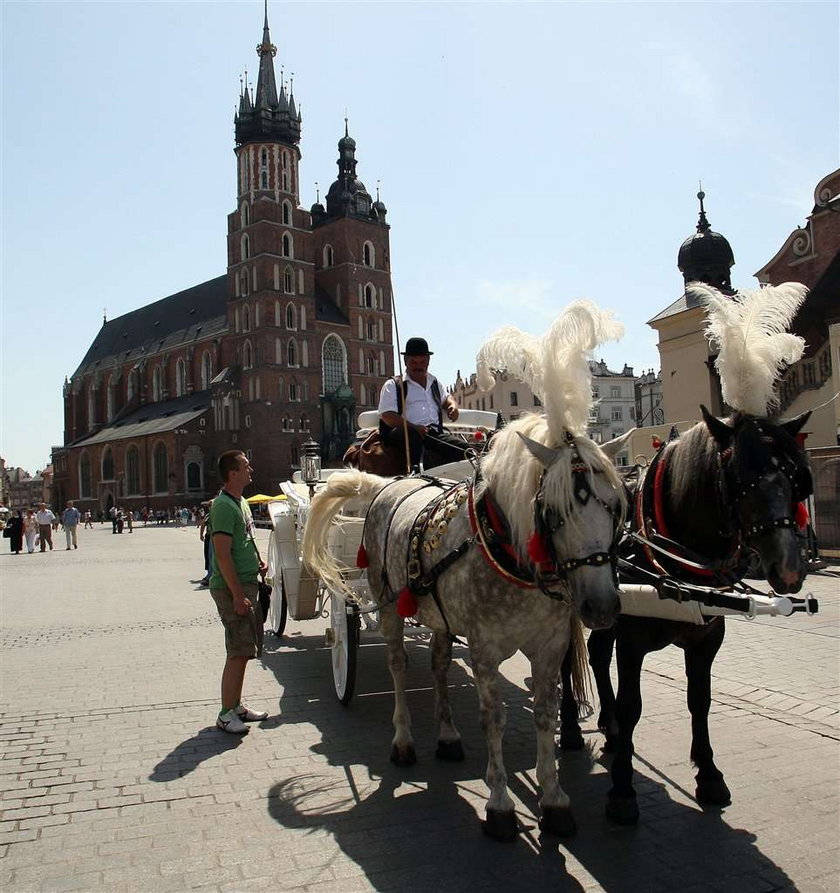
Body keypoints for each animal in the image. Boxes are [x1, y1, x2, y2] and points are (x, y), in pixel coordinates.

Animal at [302, 300, 632, 836]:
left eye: (618, 508)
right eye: (554, 511)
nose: (602, 607)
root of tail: (393, 482)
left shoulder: (549, 646)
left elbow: (544, 714)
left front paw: (554, 797)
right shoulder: (484, 648)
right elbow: (493, 717)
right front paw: (499, 805)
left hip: (435, 612)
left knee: (437, 665)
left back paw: (447, 737)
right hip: (388, 604)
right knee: (397, 665)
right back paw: (403, 741)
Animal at [560, 404, 812, 824]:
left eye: (795, 480)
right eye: (740, 477)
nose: (790, 570)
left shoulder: (707, 641)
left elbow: (700, 700)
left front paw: (709, 774)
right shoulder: (632, 643)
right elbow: (633, 706)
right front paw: (623, 789)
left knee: (596, 654)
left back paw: (609, 727)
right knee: (563, 663)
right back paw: (569, 729)